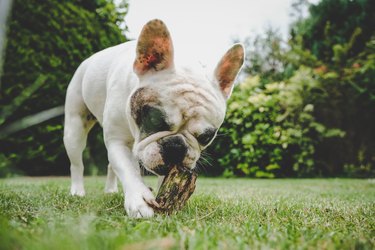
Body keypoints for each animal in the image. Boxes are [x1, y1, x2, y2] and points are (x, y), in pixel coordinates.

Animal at [63, 19, 245, 217]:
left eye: (206, 137)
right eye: (154, 120)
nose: (176, 146)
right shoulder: (118, 141)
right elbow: (128, 169)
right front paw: (139, 200)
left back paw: (110, 190)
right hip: (74, 128)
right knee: (77, 163)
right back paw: (77, 191)